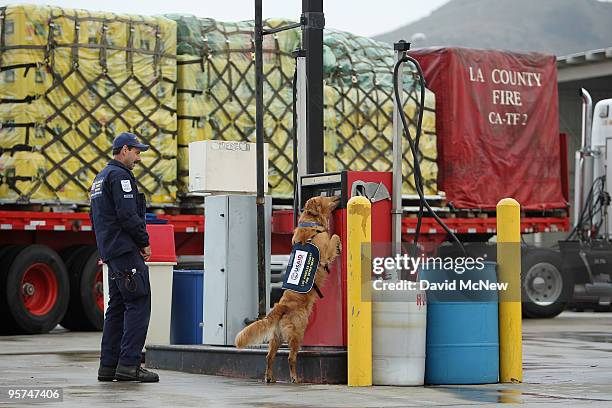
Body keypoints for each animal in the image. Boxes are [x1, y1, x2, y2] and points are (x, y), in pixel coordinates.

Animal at [234, 194, 342, 382]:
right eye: (326, 196)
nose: (338, 196)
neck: (311, 224)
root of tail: (280, 306)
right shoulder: (325, 254)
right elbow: (334, 236)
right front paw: (340, 244)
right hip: (297, 332)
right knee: (291, 358)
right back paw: (294, 378)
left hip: (276, 337)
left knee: (269, 357)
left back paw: (269, 377)